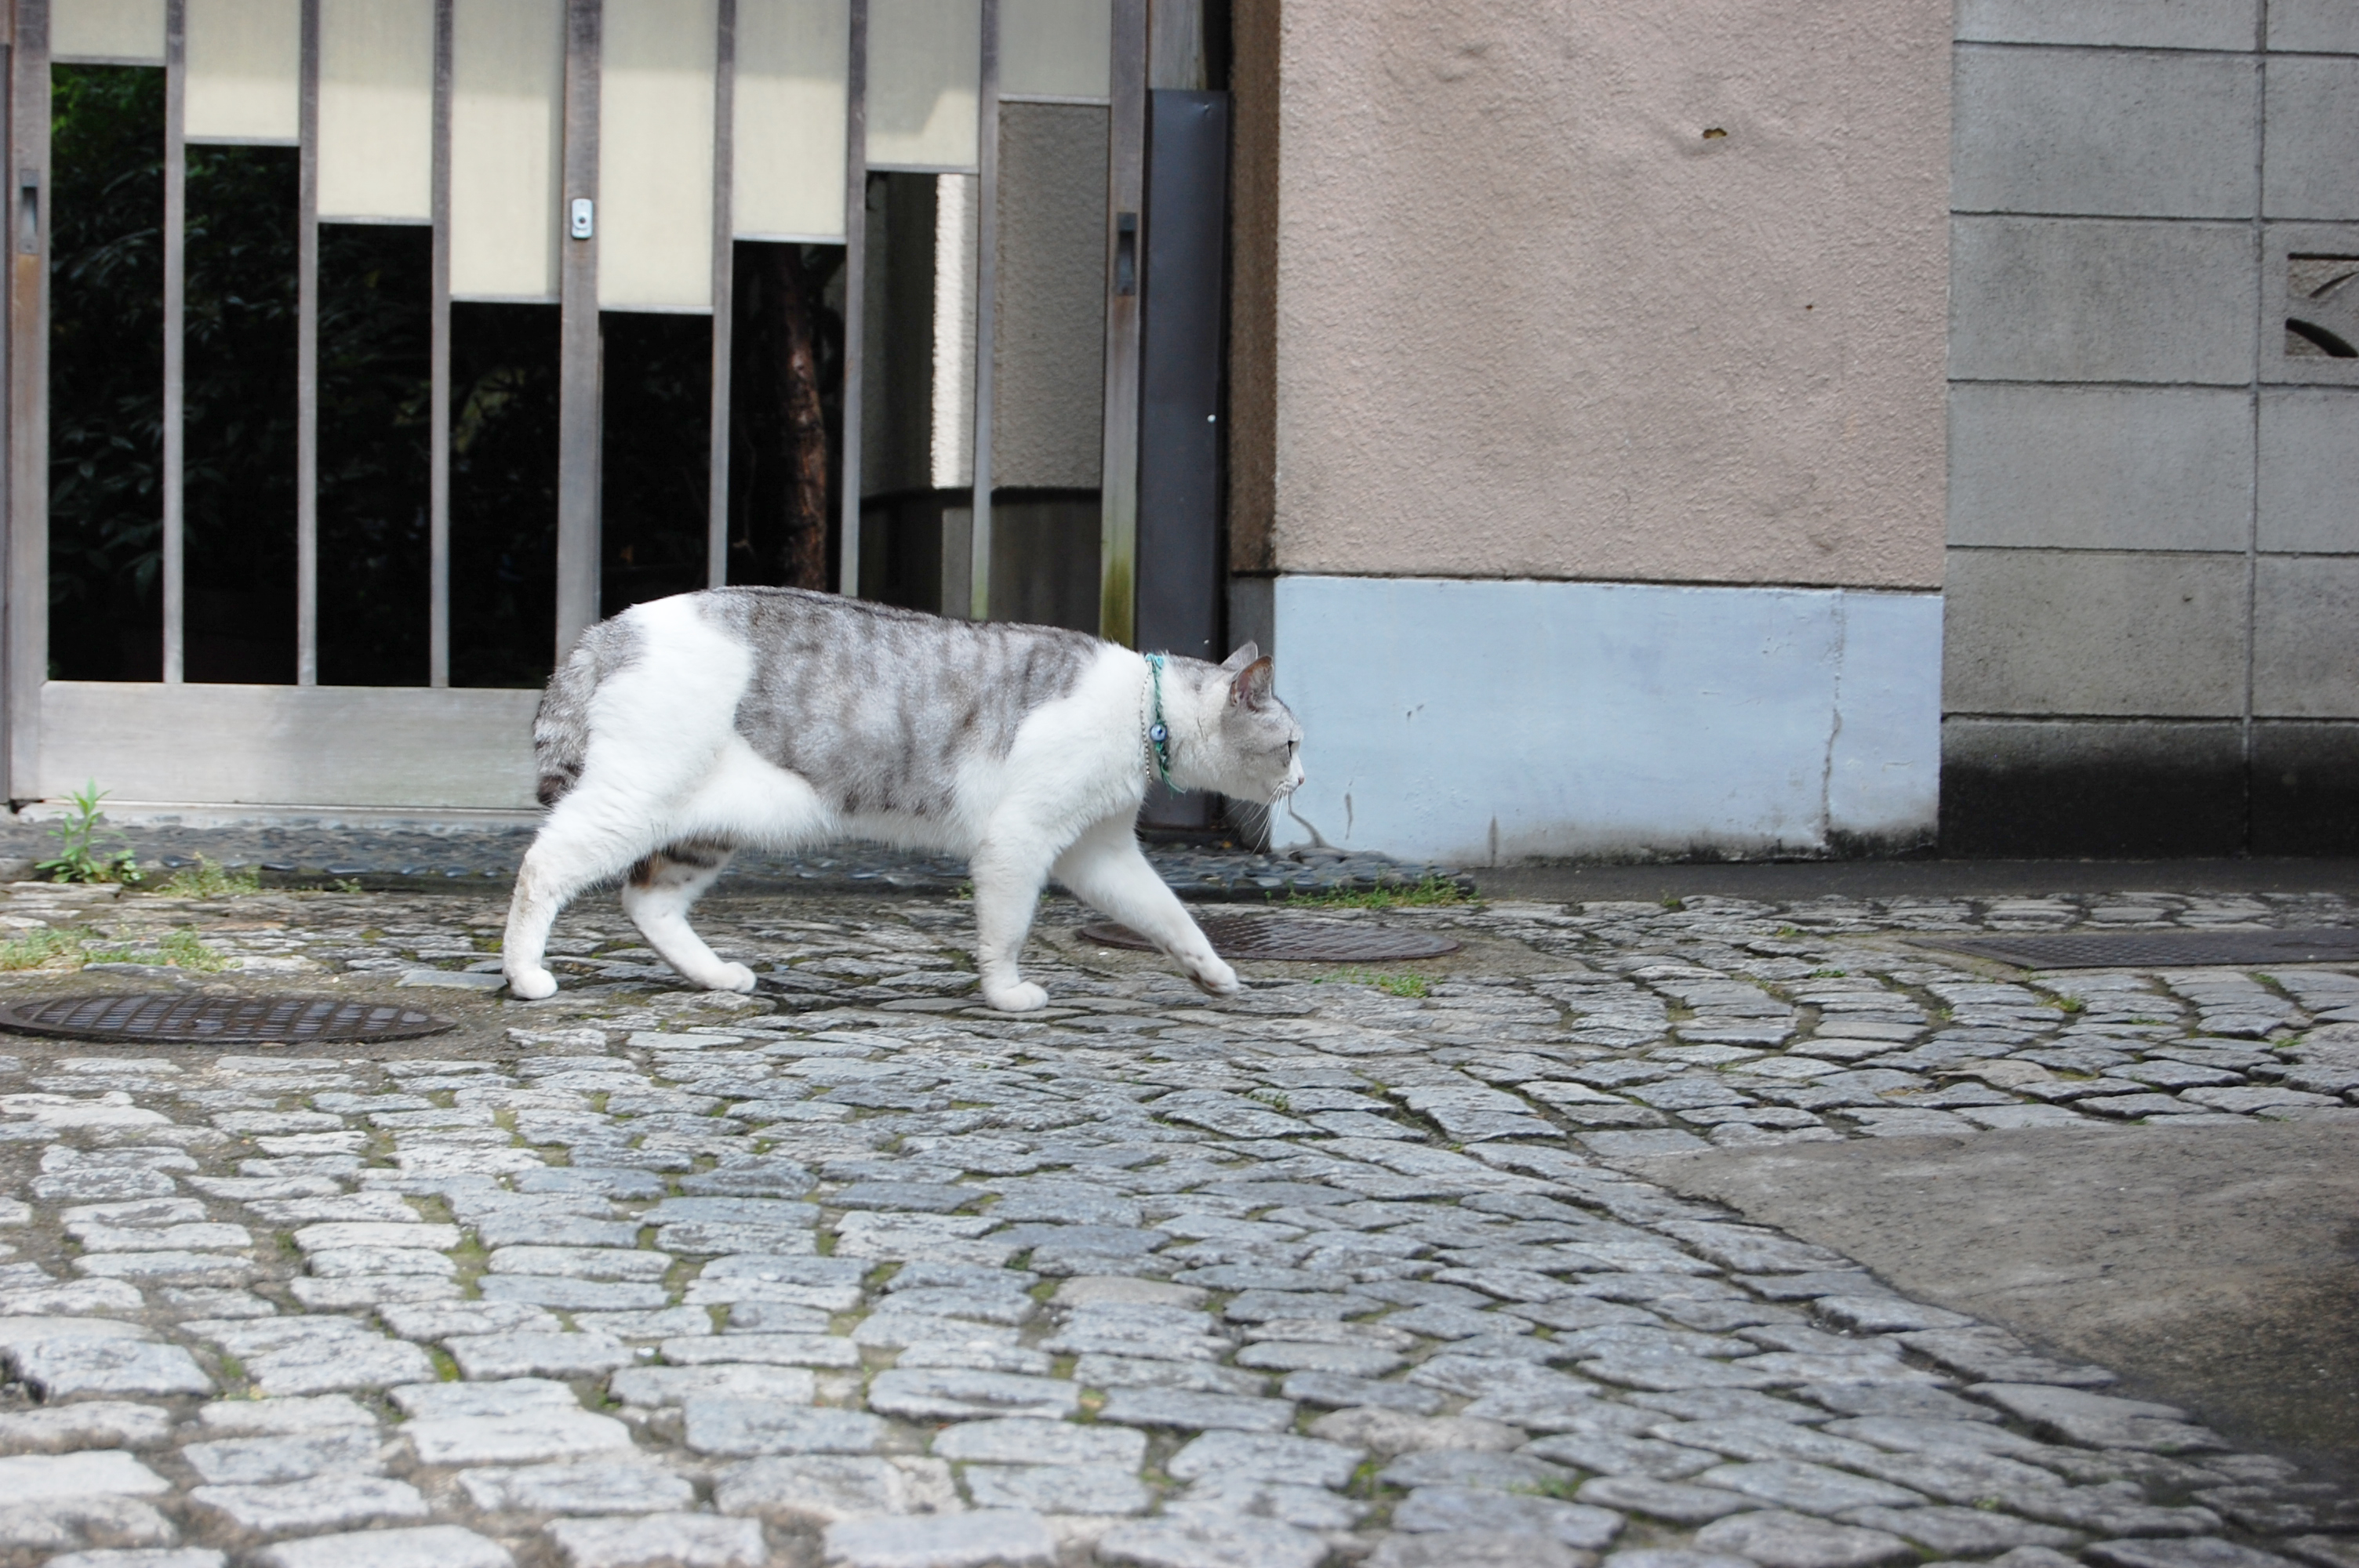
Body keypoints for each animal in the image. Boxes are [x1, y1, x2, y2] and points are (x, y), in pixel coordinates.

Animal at [501, 586, 1305, 1011]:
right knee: (544, 867)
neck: (1147, 709)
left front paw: (1213, 972)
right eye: (1293, 745)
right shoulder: (1019, 839)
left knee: (649, 901)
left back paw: (717, 976)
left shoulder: (1098, 851)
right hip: (636, 796)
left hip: (710, 821)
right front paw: (1006, 993)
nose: (1303, 781)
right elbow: (1006, 929)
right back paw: (526, 975)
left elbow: (1170, 915)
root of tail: (612, 627)